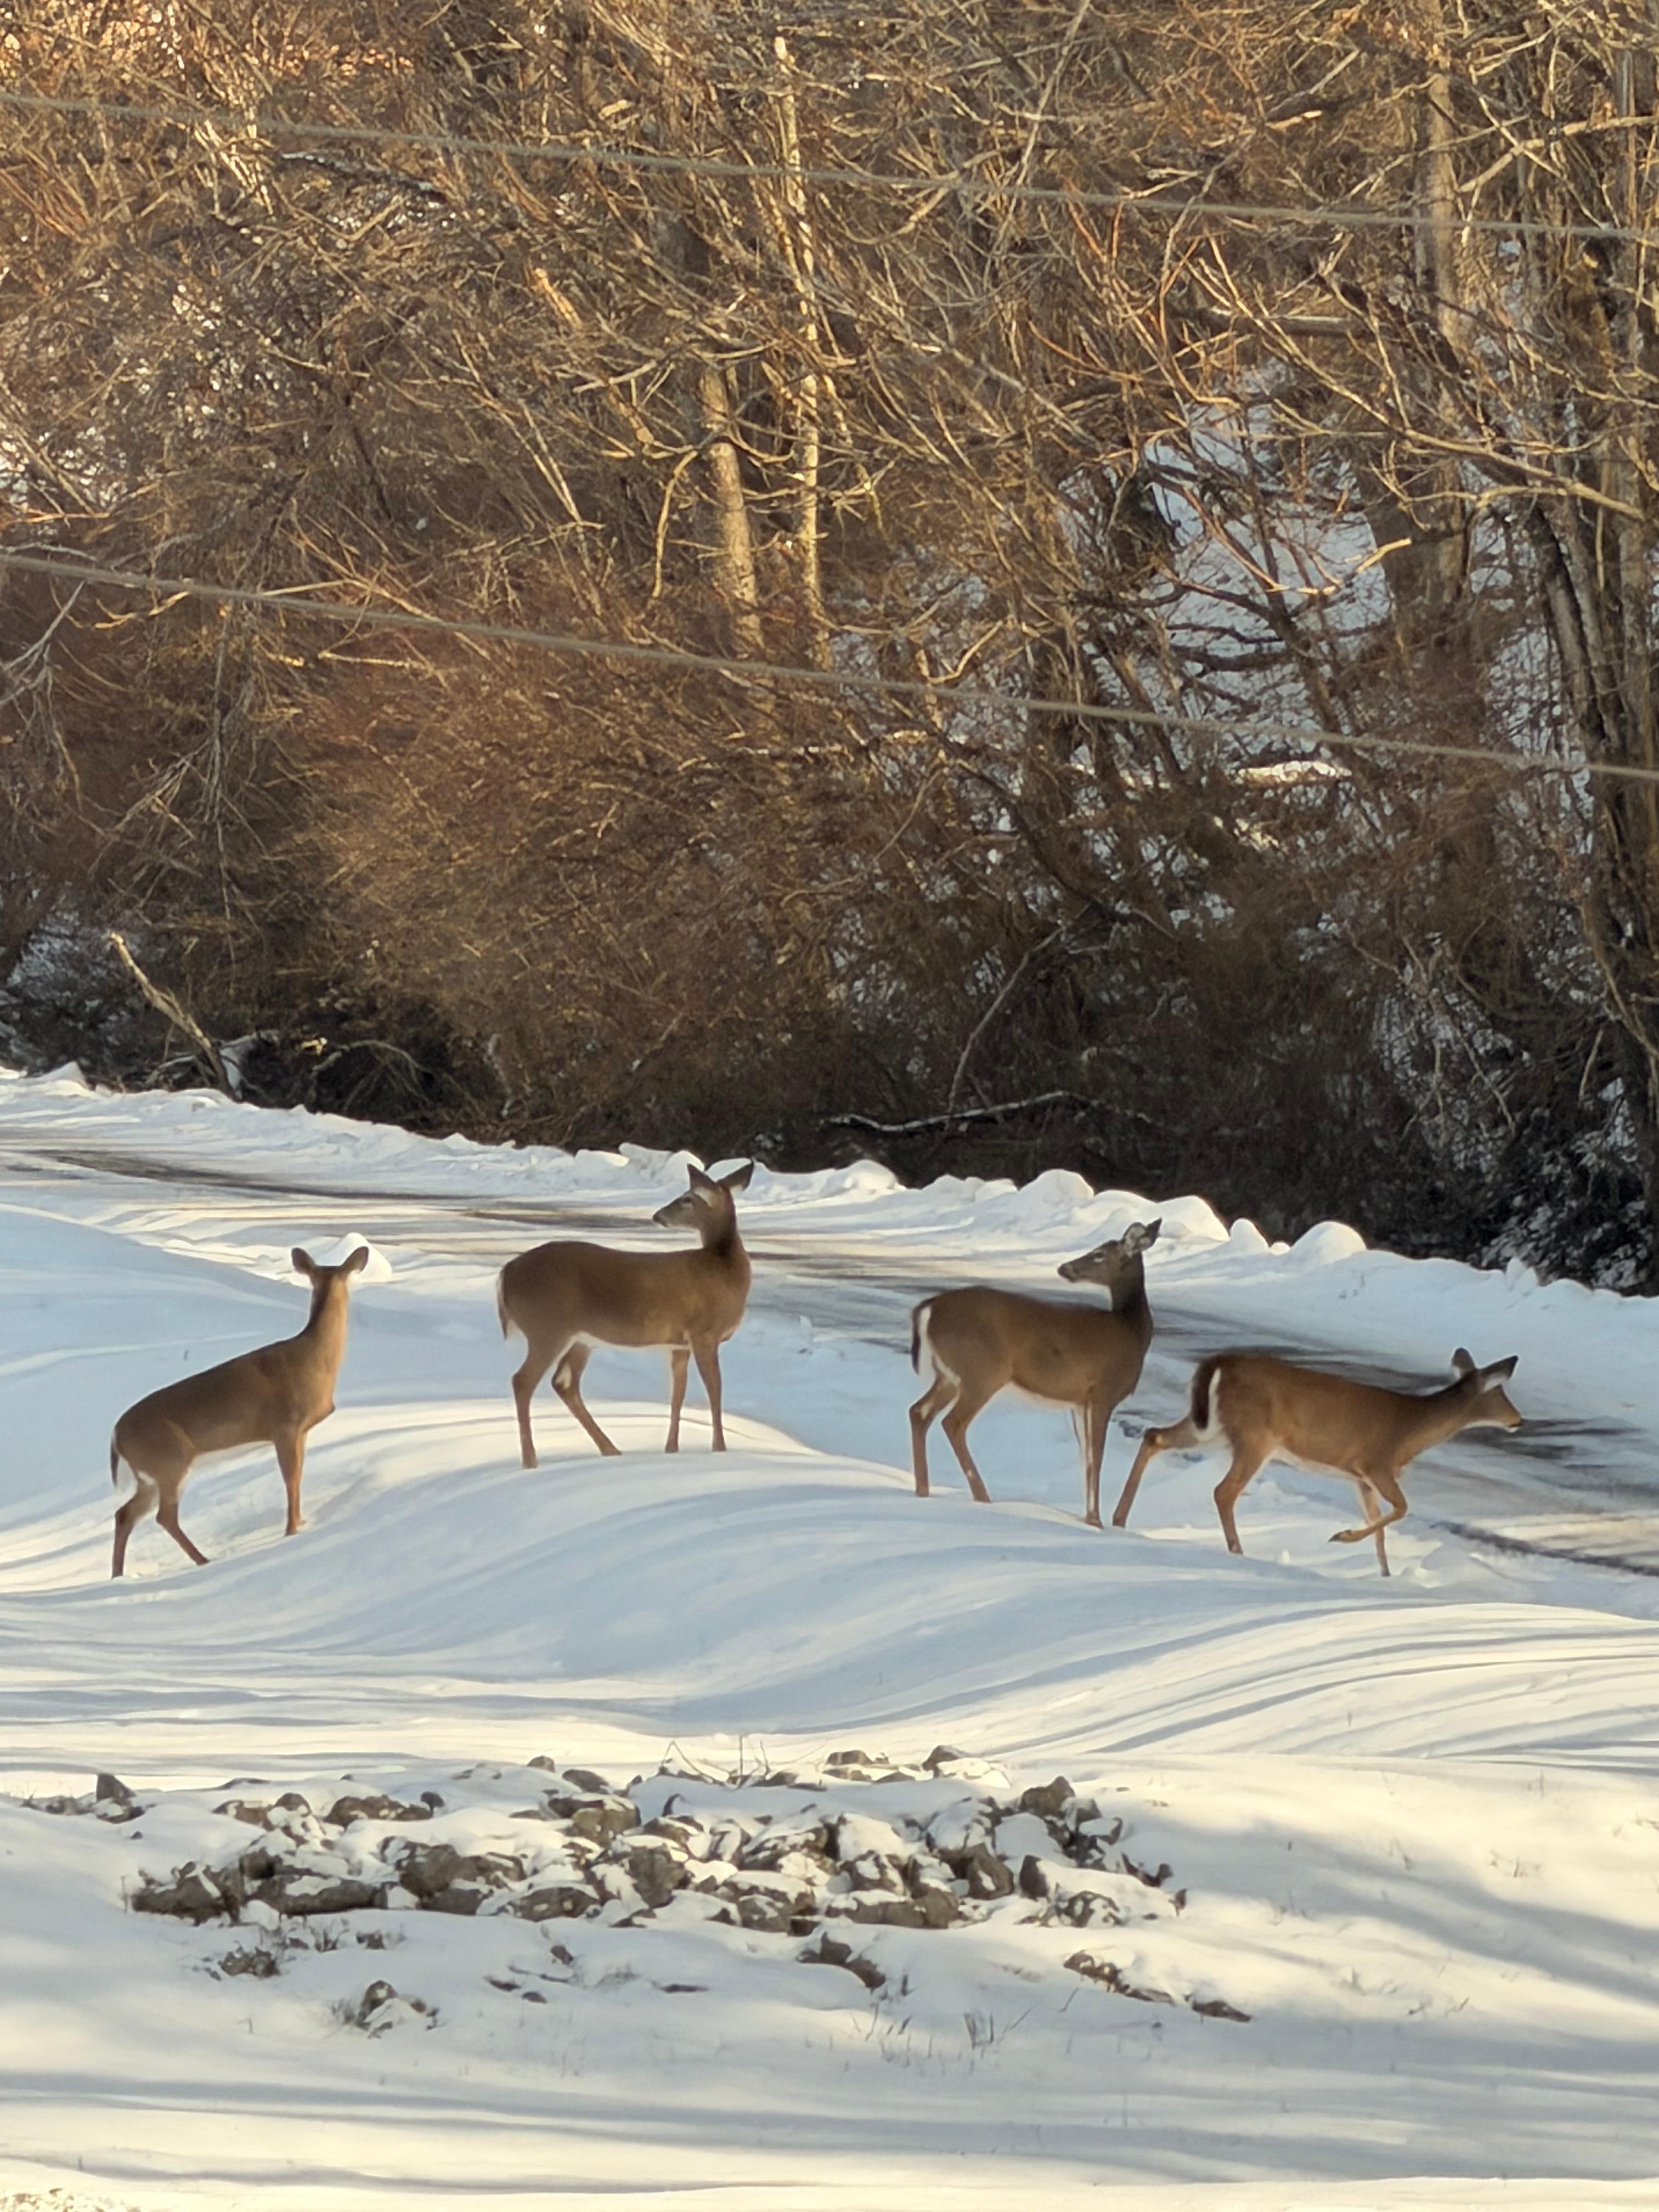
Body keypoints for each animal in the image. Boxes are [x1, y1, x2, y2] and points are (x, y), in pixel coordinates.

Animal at [110, 1244, 370, 1579]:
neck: (313, 1359)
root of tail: (116, 1435)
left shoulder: (301, 1431)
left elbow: (299, 1476)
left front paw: (301, 1522)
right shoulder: (284, 1425)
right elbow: (291, 1479)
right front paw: (291, 1531)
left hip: (151, 1474)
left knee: (126, 1514)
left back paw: (118, 1576)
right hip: (169, 1460)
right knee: (163, 1516)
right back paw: (204, 1561)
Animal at [497, 1160, 755, 1467]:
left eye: (687, 1199)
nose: (658, 1216)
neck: (726, 1271)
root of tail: (506, 1274)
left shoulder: (680, 1343)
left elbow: (677, 1395)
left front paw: (672, 1450)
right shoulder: (704, 1333)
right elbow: (715, 1392)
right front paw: (720, 1450)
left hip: (581, 1338)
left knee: (564, 1382)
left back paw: (611, 1450)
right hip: (547, 1327)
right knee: (522, 1381)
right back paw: (531, 1461)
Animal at [908, 1219, 1161, 1525]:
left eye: (1100, 1254)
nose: (1064, 1268)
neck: (1133, 1331)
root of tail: (928, 1307)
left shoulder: (1080, 1401)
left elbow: (1086, 1458)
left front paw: (1090, 1519)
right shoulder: (1103, 1394)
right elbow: (1096, 1459)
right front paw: (1095, 1522)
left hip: (949, 1375)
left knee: (919, 1412)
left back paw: (923, 1492)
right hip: (983, 1371)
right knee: (953, 1423)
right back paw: (983, 1498)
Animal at [1110, 1348, 1522, 1576]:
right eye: (1500, 1392)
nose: (1519, 1420)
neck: (1411, 1429)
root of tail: (1217, 1363)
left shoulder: (1360, 1478)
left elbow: (1380, 1526)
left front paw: (1386, 1575)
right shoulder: (1375, 1463)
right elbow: (1401, 1510)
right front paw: (1342, 1537)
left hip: (1212, 1428)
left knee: (1154, 1436)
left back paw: (1119, 1519)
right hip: (1256, 1436)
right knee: (1223, 1491)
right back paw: (1239, 1553)